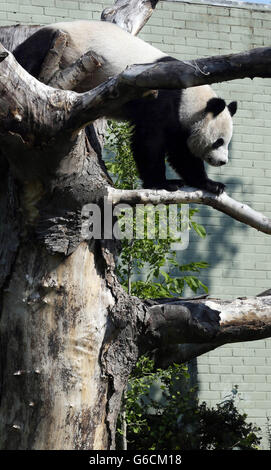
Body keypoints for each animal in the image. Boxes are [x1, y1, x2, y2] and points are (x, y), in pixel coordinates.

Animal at [13, 20, 238, 193]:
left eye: (226, 142)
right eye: (219, 141)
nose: (222, 162)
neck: (188, 97)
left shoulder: (180, 120)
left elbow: (181, 153)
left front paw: (211, 184)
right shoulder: (160, 99)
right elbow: (149, 140)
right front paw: (164, 183)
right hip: (58, 44)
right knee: (30, 58)